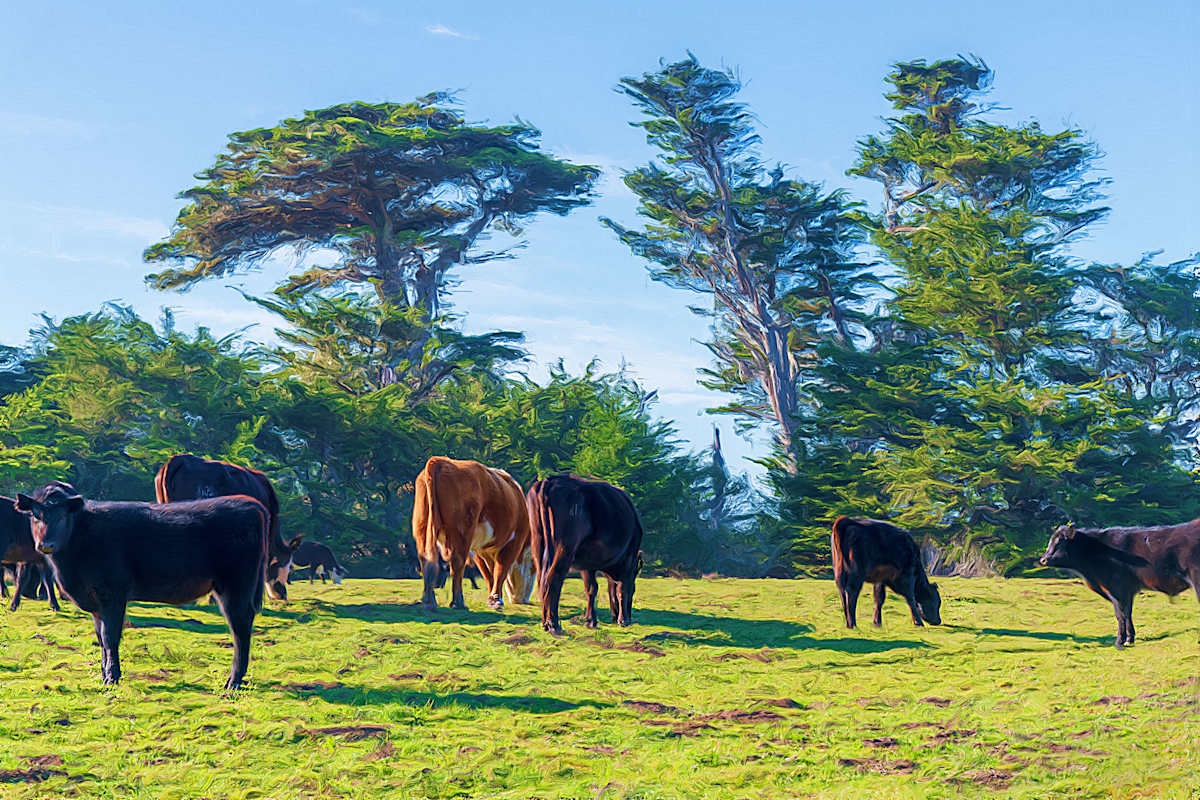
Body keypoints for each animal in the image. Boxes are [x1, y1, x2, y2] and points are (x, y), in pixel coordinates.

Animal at [15, 481, 269, 688]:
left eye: (61, 516)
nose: (45, 545)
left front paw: (112, 677)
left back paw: (234, 680)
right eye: (36, 515)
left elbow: (110, 636)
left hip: (235, 586)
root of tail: (251, 505)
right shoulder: (96, 603)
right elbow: (100, 638)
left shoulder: (113, 594)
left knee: (240, 627)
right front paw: (103, 674)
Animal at [412, 456, 532, 611]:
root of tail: (440, 460)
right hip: (462, 531)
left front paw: (492, 597)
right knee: (457, 561)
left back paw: (429, 600)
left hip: (422, 525)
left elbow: (489, 573)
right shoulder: (514, 541)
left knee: (425, 558)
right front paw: (496, 599)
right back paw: (458, 602)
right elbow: (500, 570)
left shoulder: (480, 549)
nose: (521, 599)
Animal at [526, 474, 645, 636]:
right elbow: (622, 588)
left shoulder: (587, 563)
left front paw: (590, 620)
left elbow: (591, 589)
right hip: (564, 548)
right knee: (553, 579)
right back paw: (554, 624)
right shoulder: (629, 558)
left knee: (541, 581)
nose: (628, 617)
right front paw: (623, 620)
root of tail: (550, 480)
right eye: (635, 589)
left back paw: (545, 623)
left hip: (538, 544)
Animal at [1039, 521, 1200, 648]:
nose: (1043, 560)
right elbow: (1127, 613)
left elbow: (1120, 614)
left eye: (1060, 542)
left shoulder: (1117, 589)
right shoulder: (1127, 590)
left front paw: (1119, 641)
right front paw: (1130, 638)